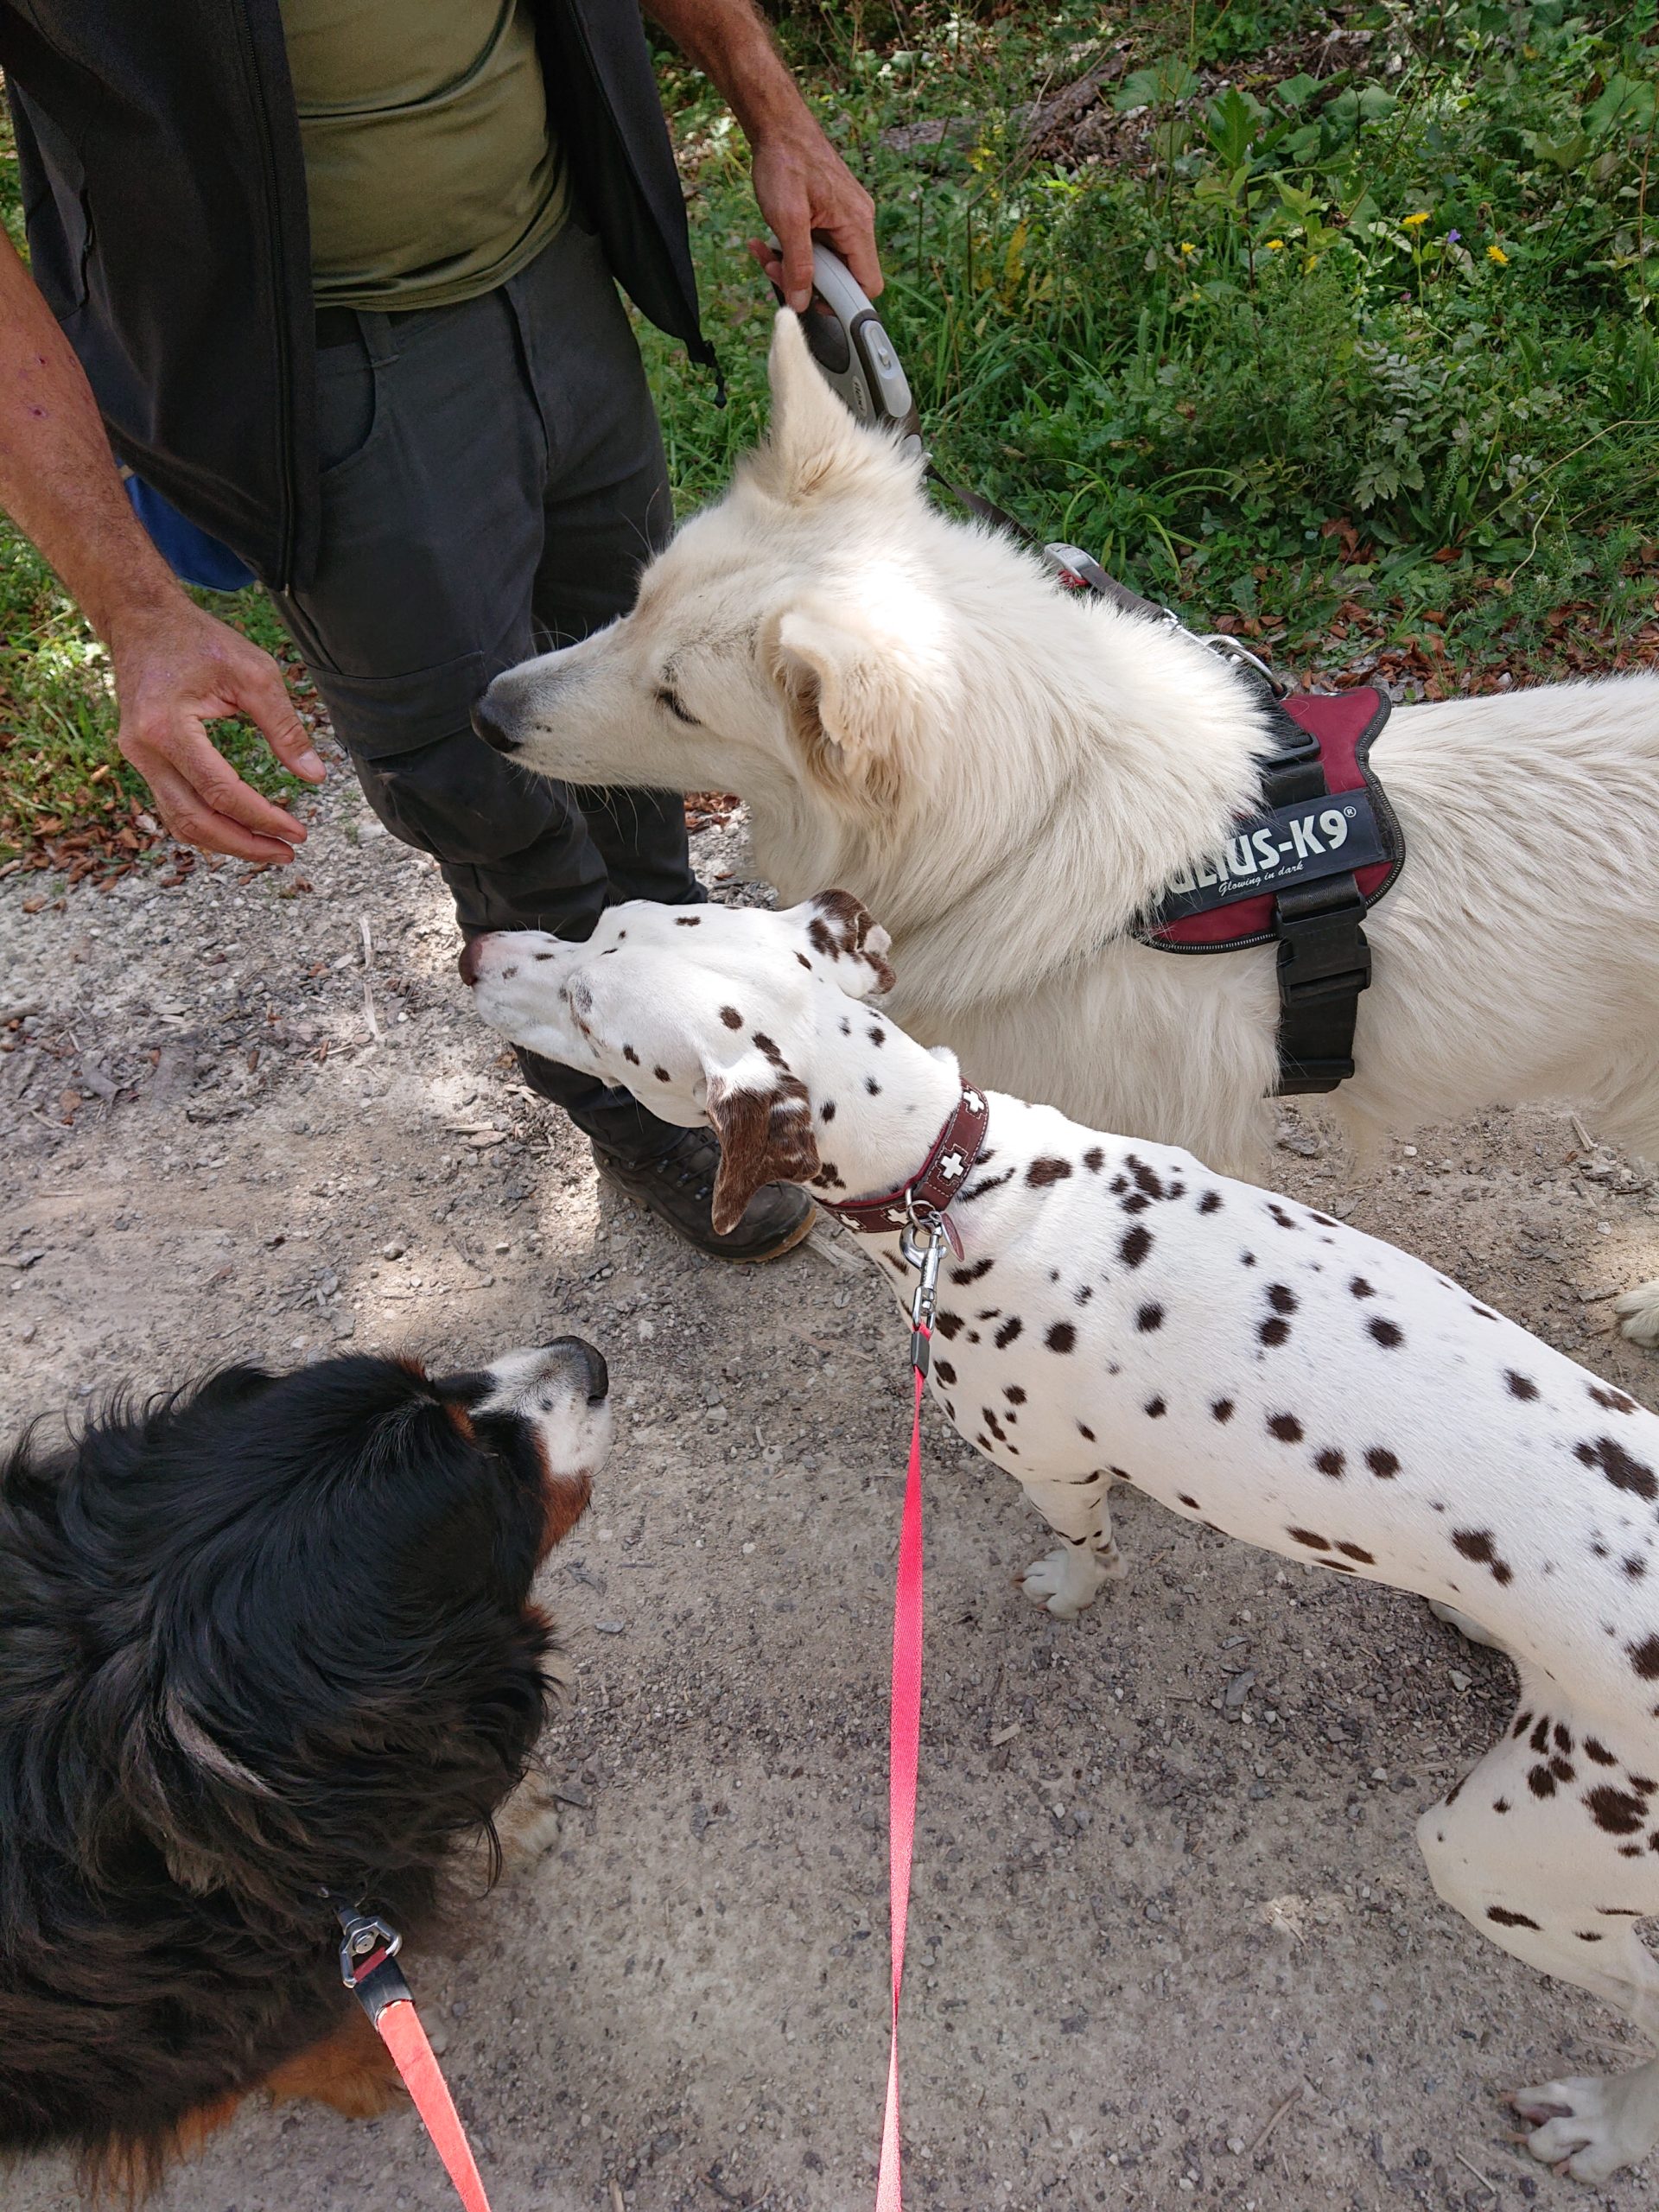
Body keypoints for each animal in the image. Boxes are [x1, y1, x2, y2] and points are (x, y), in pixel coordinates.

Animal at [0, 1339, 610, 2193]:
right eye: (490, 1467)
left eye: (434, 1378)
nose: (587, 1358)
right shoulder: (175, 2028)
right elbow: (281, 2043)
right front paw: (372, 2070)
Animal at [462, 889, 1659, 2183]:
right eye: (600, 921)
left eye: (592, 1008)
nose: (475, 952)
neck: (960, 1178)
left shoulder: (1050, 1463)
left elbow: (1088, 1545)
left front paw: (1071, 1584)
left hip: (1505, 1859)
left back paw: (1606, 2125)